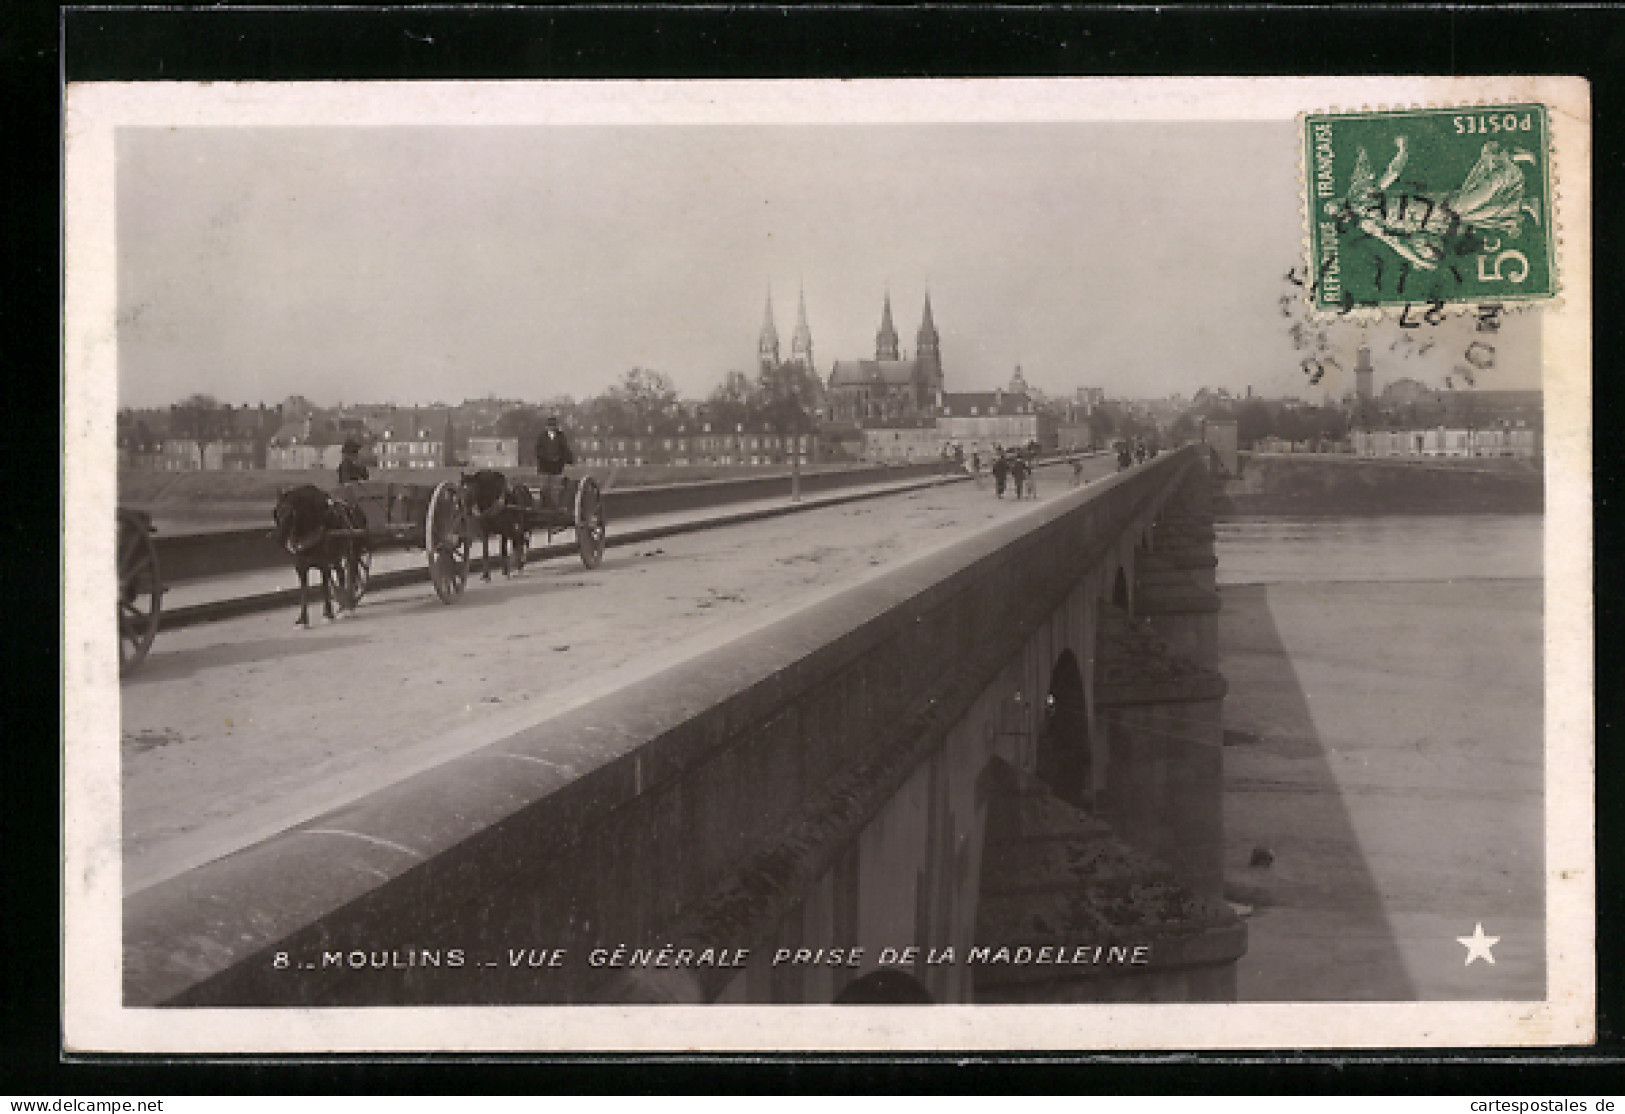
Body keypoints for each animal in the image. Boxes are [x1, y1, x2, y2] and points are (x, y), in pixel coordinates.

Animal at [273, 487, 355, 633]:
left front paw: (328, 614)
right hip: (335, 557)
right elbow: (304, 591)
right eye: (277, 513)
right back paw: (342, 606)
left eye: (291, 514)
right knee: (340, 572)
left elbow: (324, 587)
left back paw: (346, 607)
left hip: (347, 551)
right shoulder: (300, 567)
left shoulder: (324, 564)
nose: (278, 538)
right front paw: (302, 619)